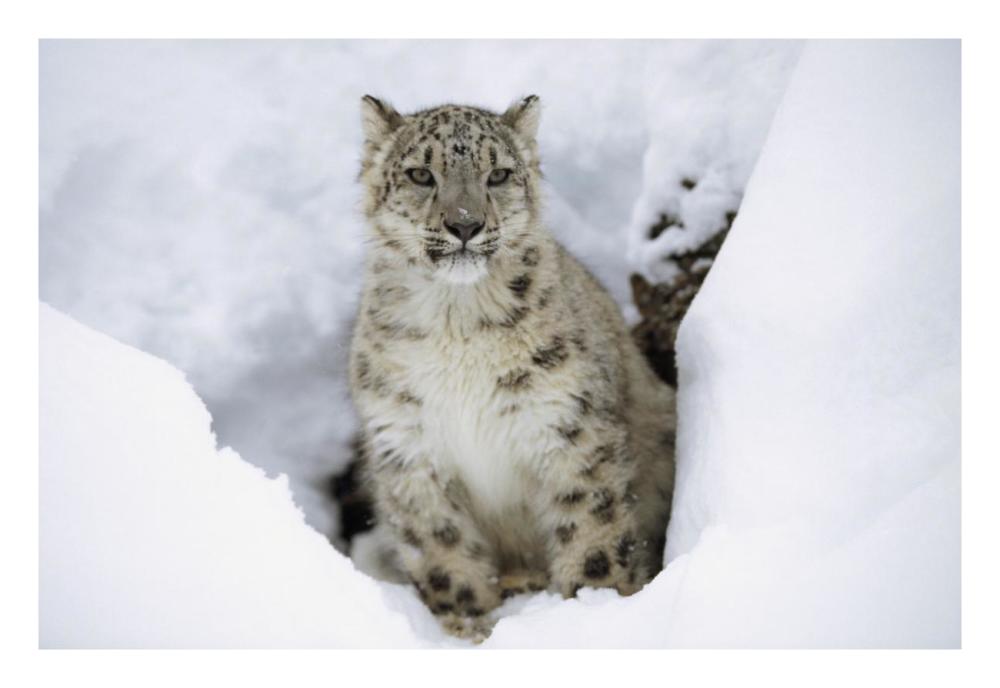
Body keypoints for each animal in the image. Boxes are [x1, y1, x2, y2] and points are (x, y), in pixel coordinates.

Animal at [348, 94, 676, 641]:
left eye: (498, 174)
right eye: (420, 174)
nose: (464, 224)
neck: (456, 324)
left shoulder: (568, 426)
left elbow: (592, 530)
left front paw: (594, 605)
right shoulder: (408, 443)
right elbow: (442, 548)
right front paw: (466, 625)